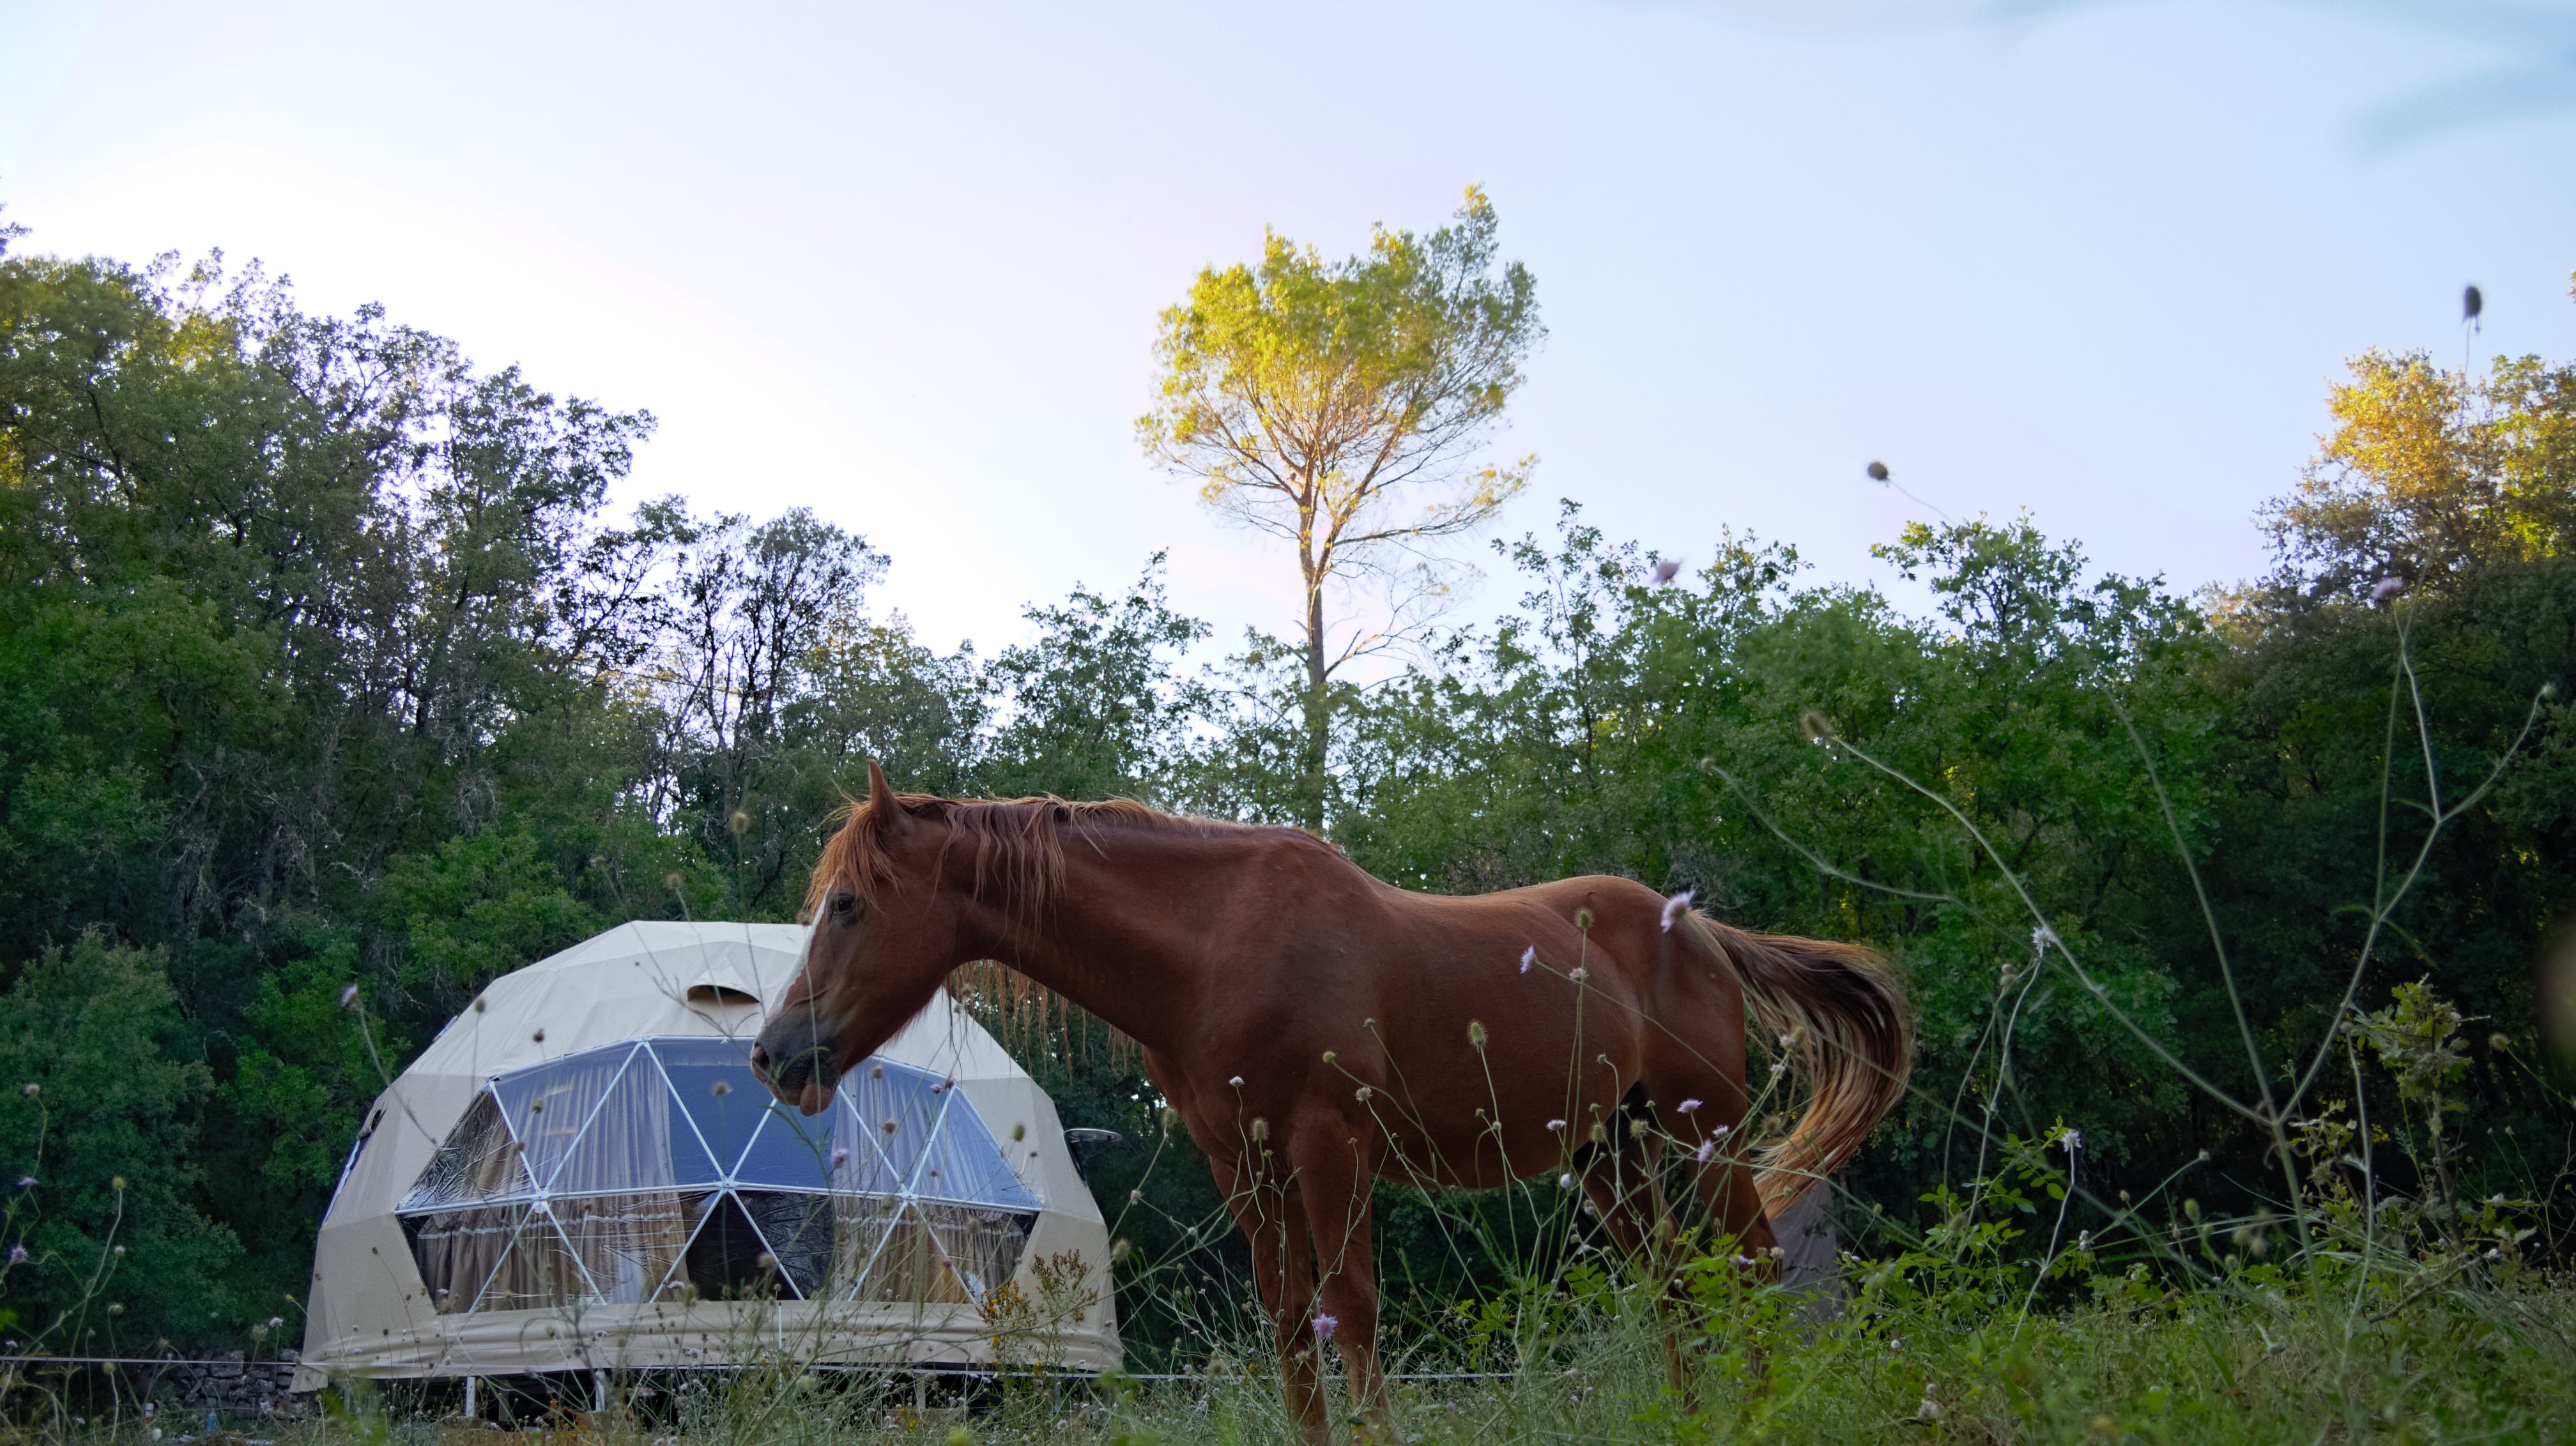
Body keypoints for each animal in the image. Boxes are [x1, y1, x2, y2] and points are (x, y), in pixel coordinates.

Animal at [752, 761, 1916, 1430]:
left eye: (849, 902)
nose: (773, 1053)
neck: (1218, 945)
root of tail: (1699, 929)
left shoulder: (1328, 1145)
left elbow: (1351, 1311)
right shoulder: (1245, 1161)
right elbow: (1287, 1322)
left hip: (1702, 1131)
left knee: (1752, 1267)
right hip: (1609, 1154)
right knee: (1675, 1285)